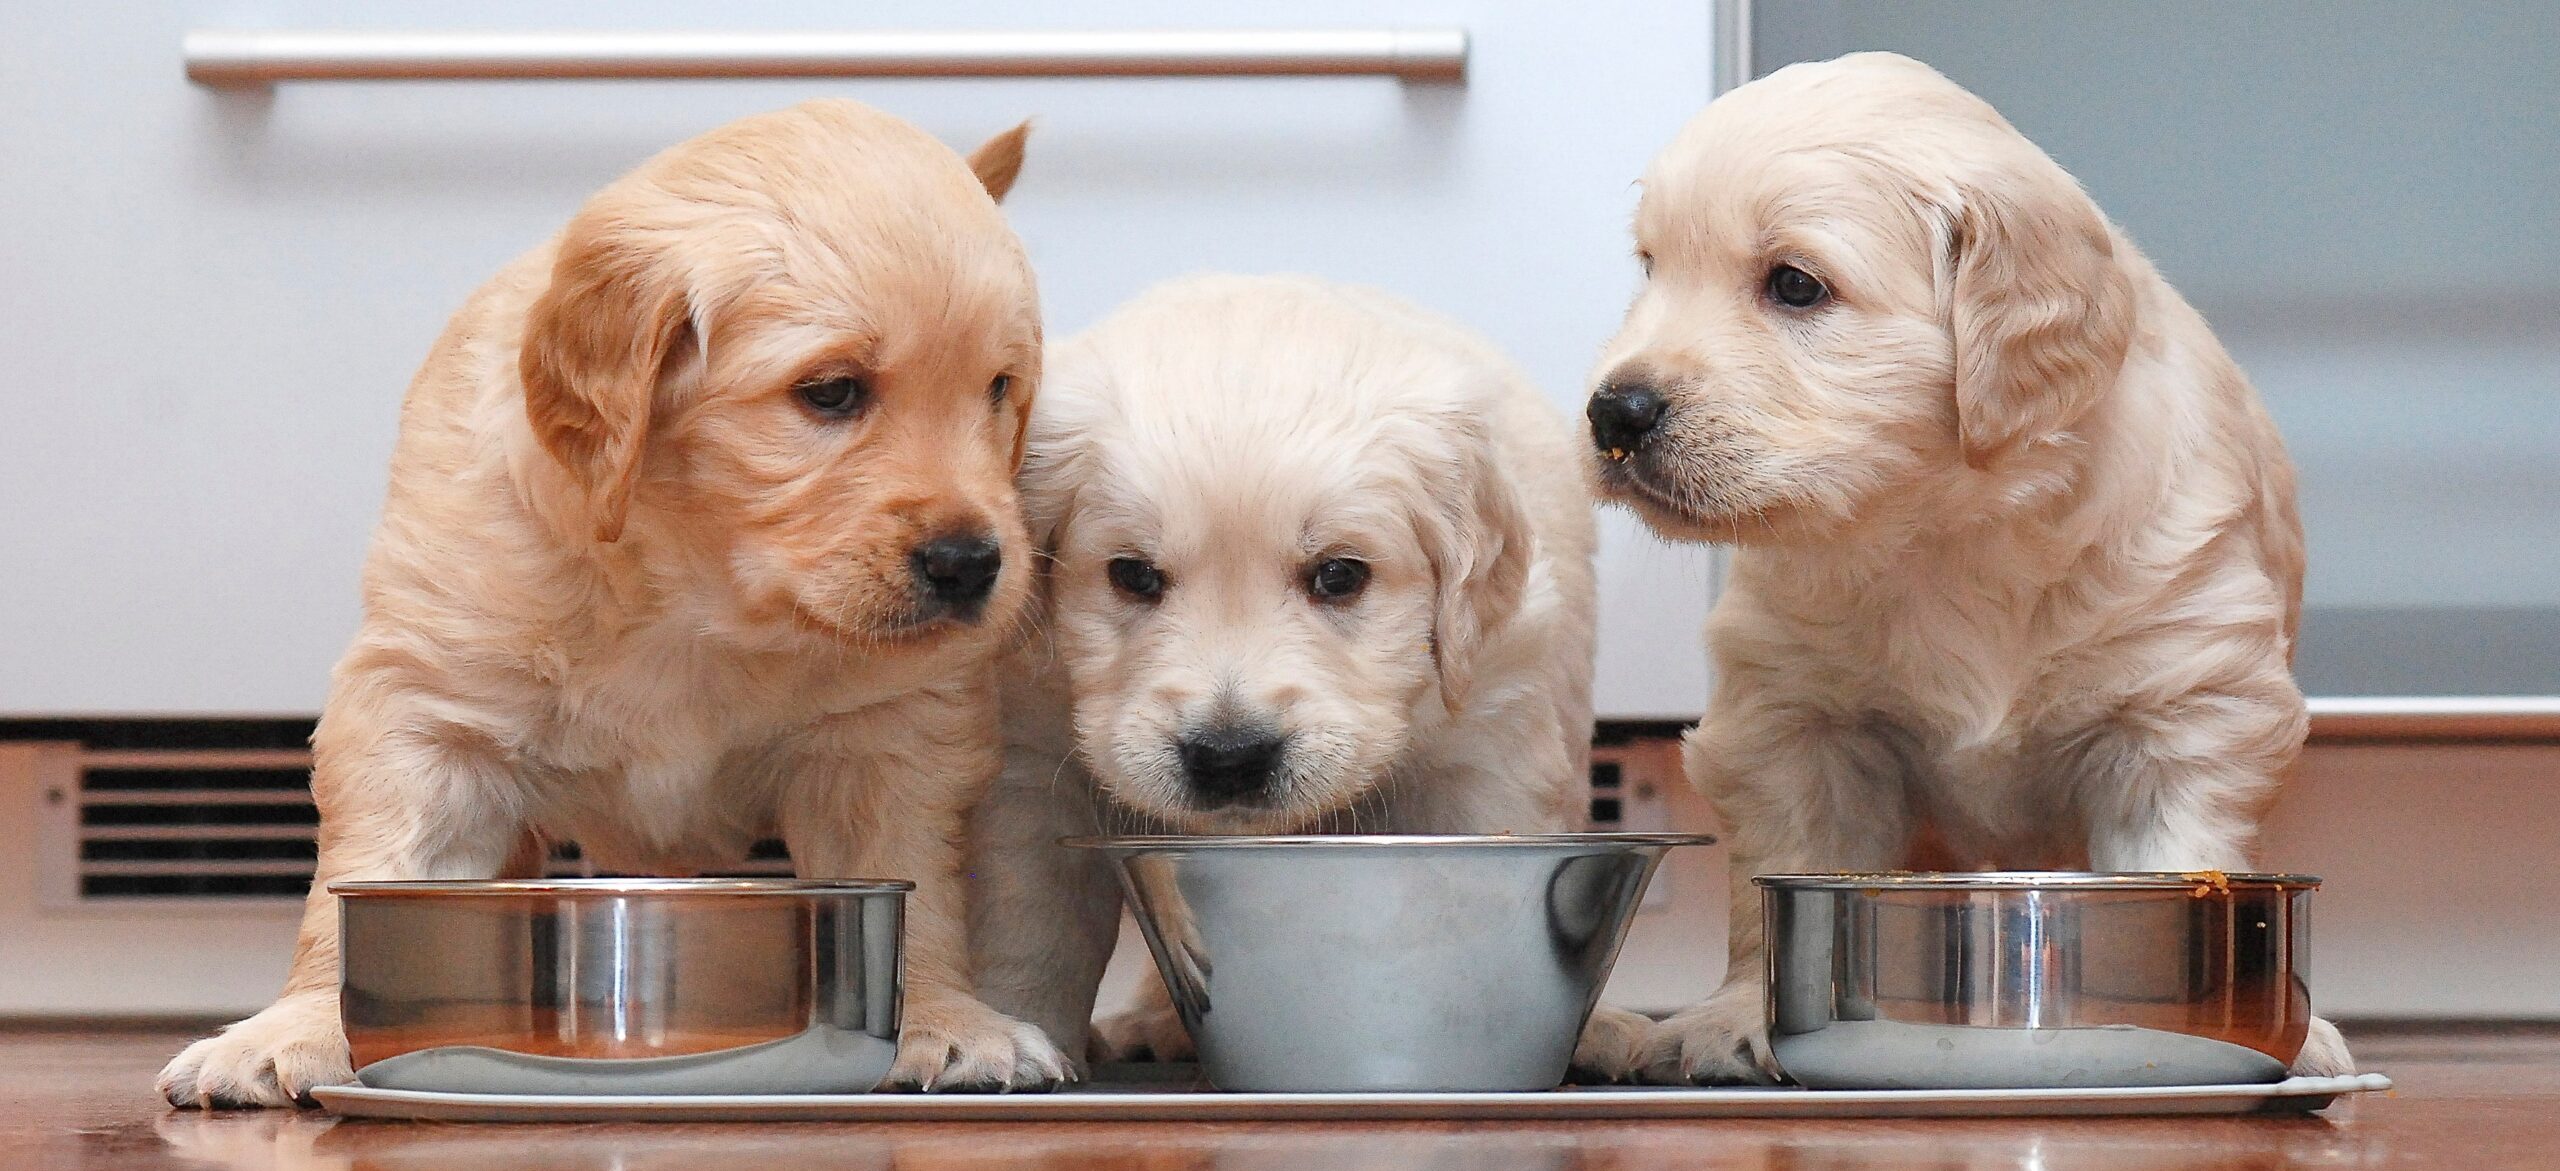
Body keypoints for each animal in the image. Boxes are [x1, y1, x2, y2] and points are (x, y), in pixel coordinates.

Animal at [157, 102, 1070, 1106]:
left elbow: (914, 882)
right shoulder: (425, 707)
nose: (972, 564)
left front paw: (944, 1017)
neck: (698, 591)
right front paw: (300, 1025)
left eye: (1000, 388)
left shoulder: (892, 728)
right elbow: (364, 875)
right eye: (831, 391)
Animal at [962, 276, 1638, 1076]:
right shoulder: (1031, 757)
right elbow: (1033, 925)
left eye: (1340, 575)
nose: (1229, 756)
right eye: (1132, 574)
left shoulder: (1487, 742)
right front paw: (1013, 1035)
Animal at [1576, 52, 2355, 1076]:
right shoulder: (1793, 717)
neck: (1945, 529)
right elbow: (1776, 871)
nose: (1612, 412)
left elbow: (2177, 849)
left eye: (1795, 285)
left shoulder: (2185, 703)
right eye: (1650, 268)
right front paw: (1741, 1014)